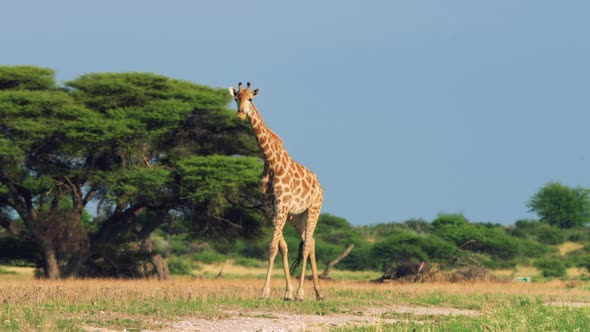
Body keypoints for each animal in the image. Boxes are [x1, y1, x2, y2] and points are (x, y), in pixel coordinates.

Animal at [229, 82, 326, 300]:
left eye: (250, 99)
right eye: (236, 98)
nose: (240, 113)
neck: (272, 163)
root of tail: (319, 185)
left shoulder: (281, 206)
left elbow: (273, 246)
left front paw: (266, 291)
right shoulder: (271, 210)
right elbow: (281, 247)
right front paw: (286, 292)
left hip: (313, 209)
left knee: (307, 245)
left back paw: (302, 293)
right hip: (297, 216)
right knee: (311, 241)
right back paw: (318, 293)